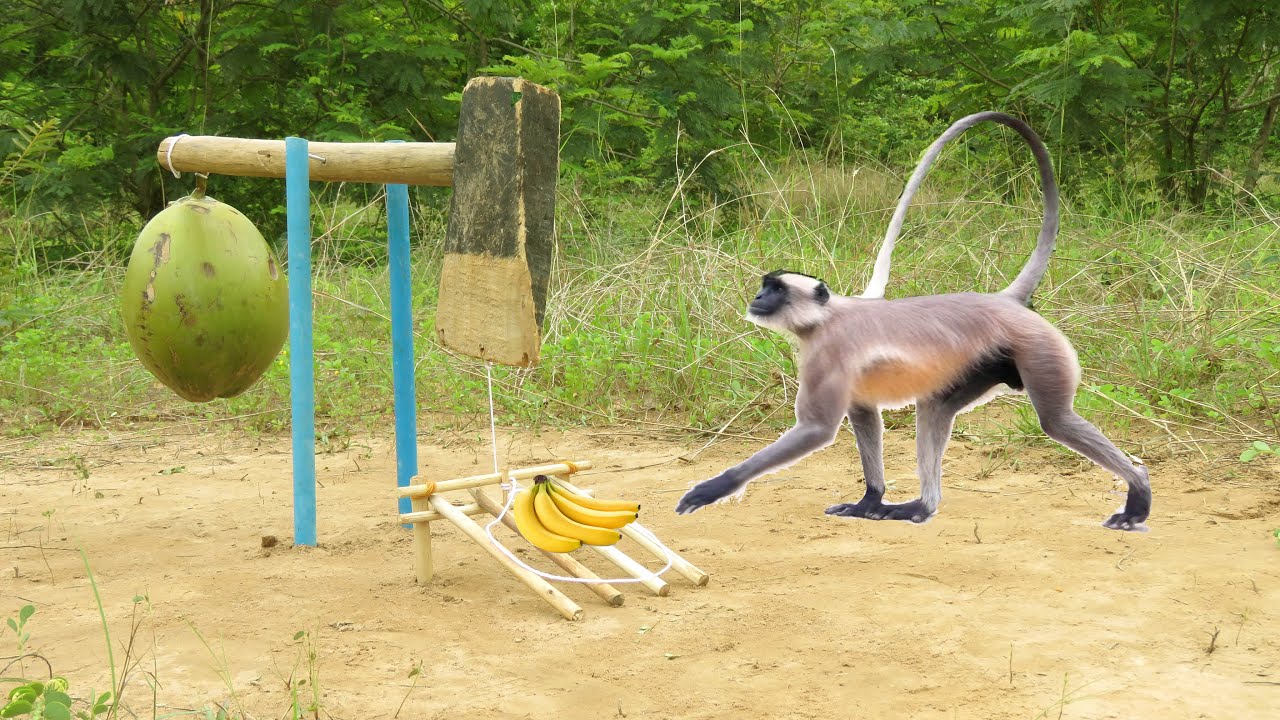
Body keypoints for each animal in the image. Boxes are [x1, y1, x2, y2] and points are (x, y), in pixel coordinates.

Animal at [675, 111, 1151, 532]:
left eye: (775, 289)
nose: (757, 298)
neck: (827, 315)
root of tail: (1004, 301)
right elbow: (864, 415)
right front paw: (870, 500)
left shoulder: (828, 350)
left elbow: (817, 430)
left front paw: (716, 487)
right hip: (983, 363)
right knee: (935, 408)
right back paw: (923, 506)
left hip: (1038, 347)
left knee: (1056, 420)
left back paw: (1138, 488)